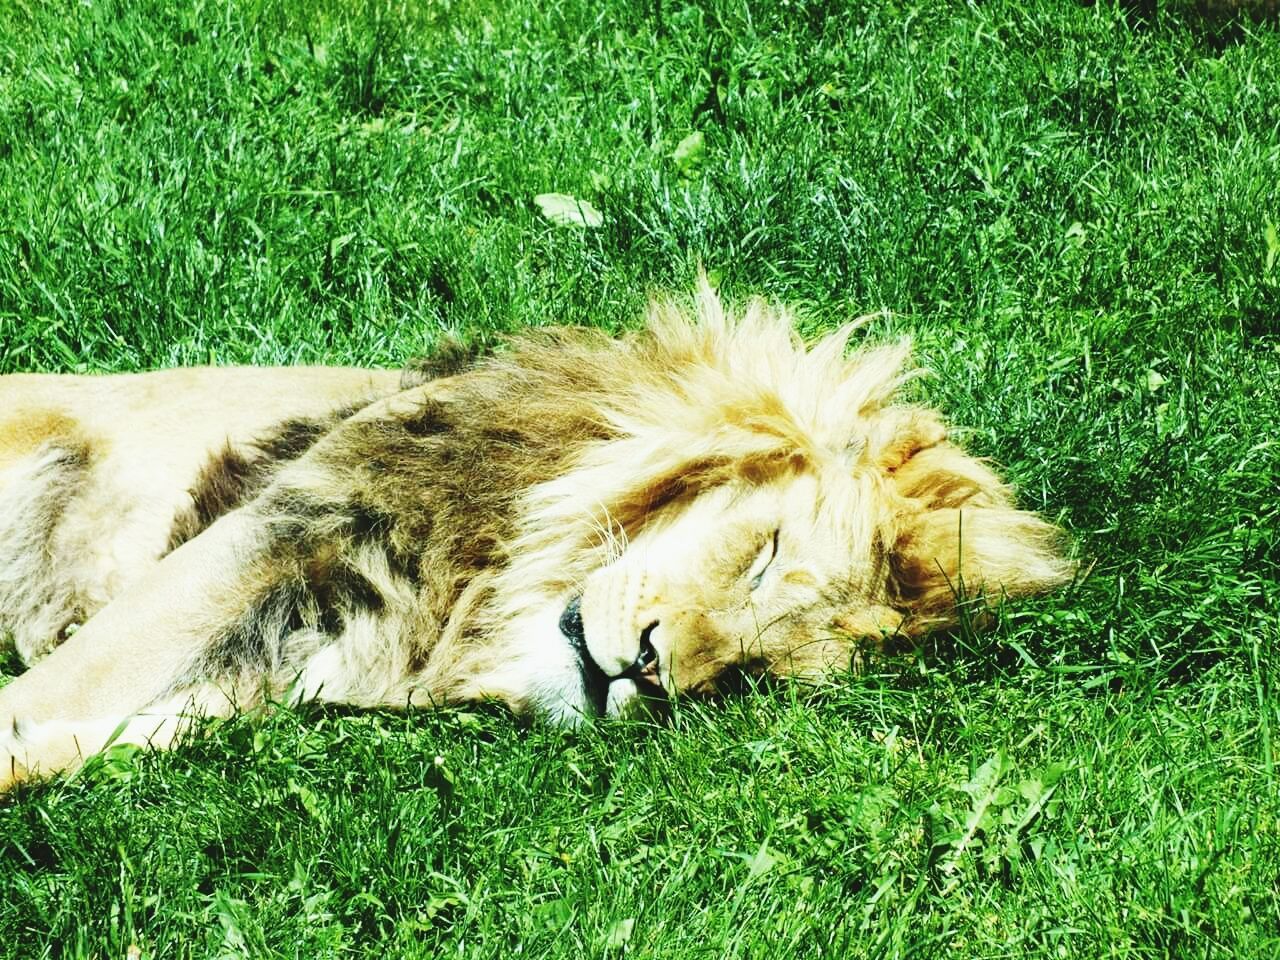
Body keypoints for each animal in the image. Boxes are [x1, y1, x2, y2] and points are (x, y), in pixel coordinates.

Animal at [0, 284, 1075, 788]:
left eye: (751, 676)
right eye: (766, 556)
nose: (653, 673)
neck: (477, 594)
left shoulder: (283, 679)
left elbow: (109, 732)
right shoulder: (276, 532)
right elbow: (74, 679)